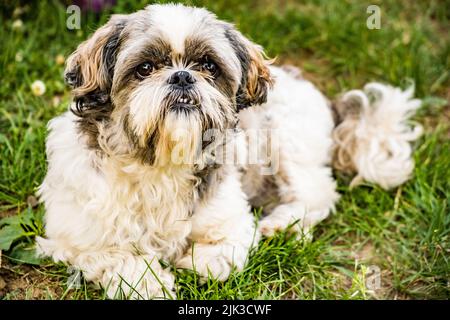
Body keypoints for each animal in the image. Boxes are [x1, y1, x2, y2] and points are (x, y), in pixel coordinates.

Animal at [37, 2, 424, 298]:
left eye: (208, 66)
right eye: (145, 68)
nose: (182, 76)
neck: (161, 162)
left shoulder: (232, 222)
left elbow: (220, 253)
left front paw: (193, 261)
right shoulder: (77, 236)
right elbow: (118, 256)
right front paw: (149, 283)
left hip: (285, 141)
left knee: (317, 195)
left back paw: (281, 225)